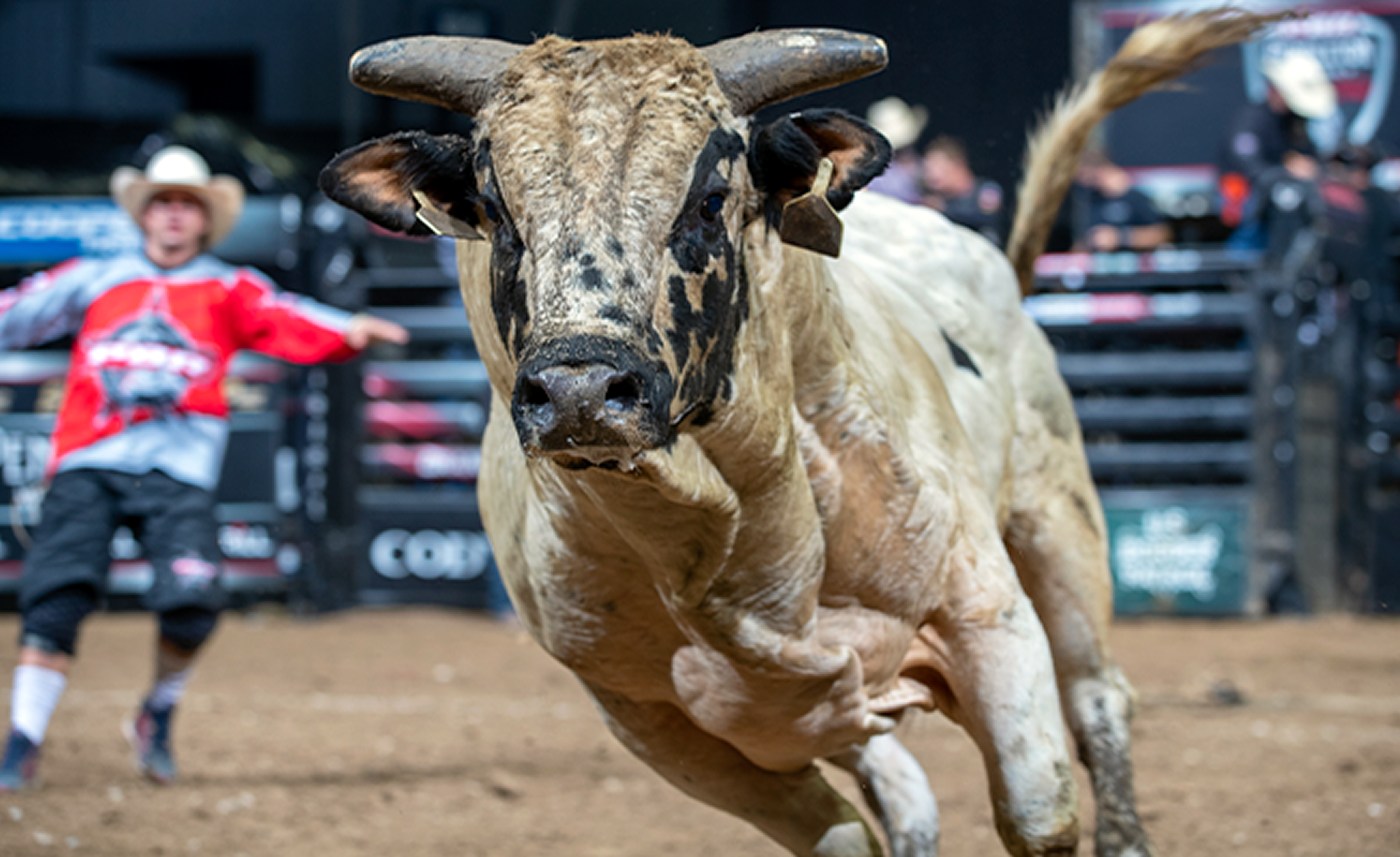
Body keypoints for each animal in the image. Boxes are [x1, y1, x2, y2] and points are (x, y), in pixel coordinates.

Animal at [322, 10, 1282, 851]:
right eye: (495, 206)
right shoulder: (655, 723)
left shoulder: (990, 614)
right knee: (907, 793)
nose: (580, 389)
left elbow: (1039, 810)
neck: (741, 543)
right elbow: (842, 833)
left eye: (710, 197)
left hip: (1059, 522)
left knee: (1099, 701)